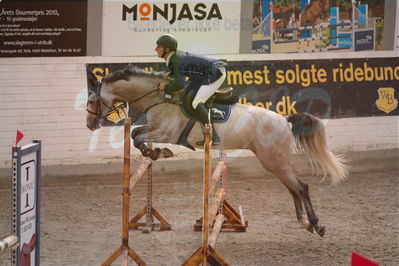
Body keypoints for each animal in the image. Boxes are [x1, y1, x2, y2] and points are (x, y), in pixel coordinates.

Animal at [86, 66, 348, 237]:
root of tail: (284, 119)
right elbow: (135, 134)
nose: (90, 125)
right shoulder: (154, 129)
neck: (160, 98)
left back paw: (316, 225)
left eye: (91, 101)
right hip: (275, 163)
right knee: (294, 188)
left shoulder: (166, 133)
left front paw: (157, 153)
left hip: (274, 161)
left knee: (301, 187)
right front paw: (155, 154)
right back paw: (305, 223)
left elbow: (137, 137)